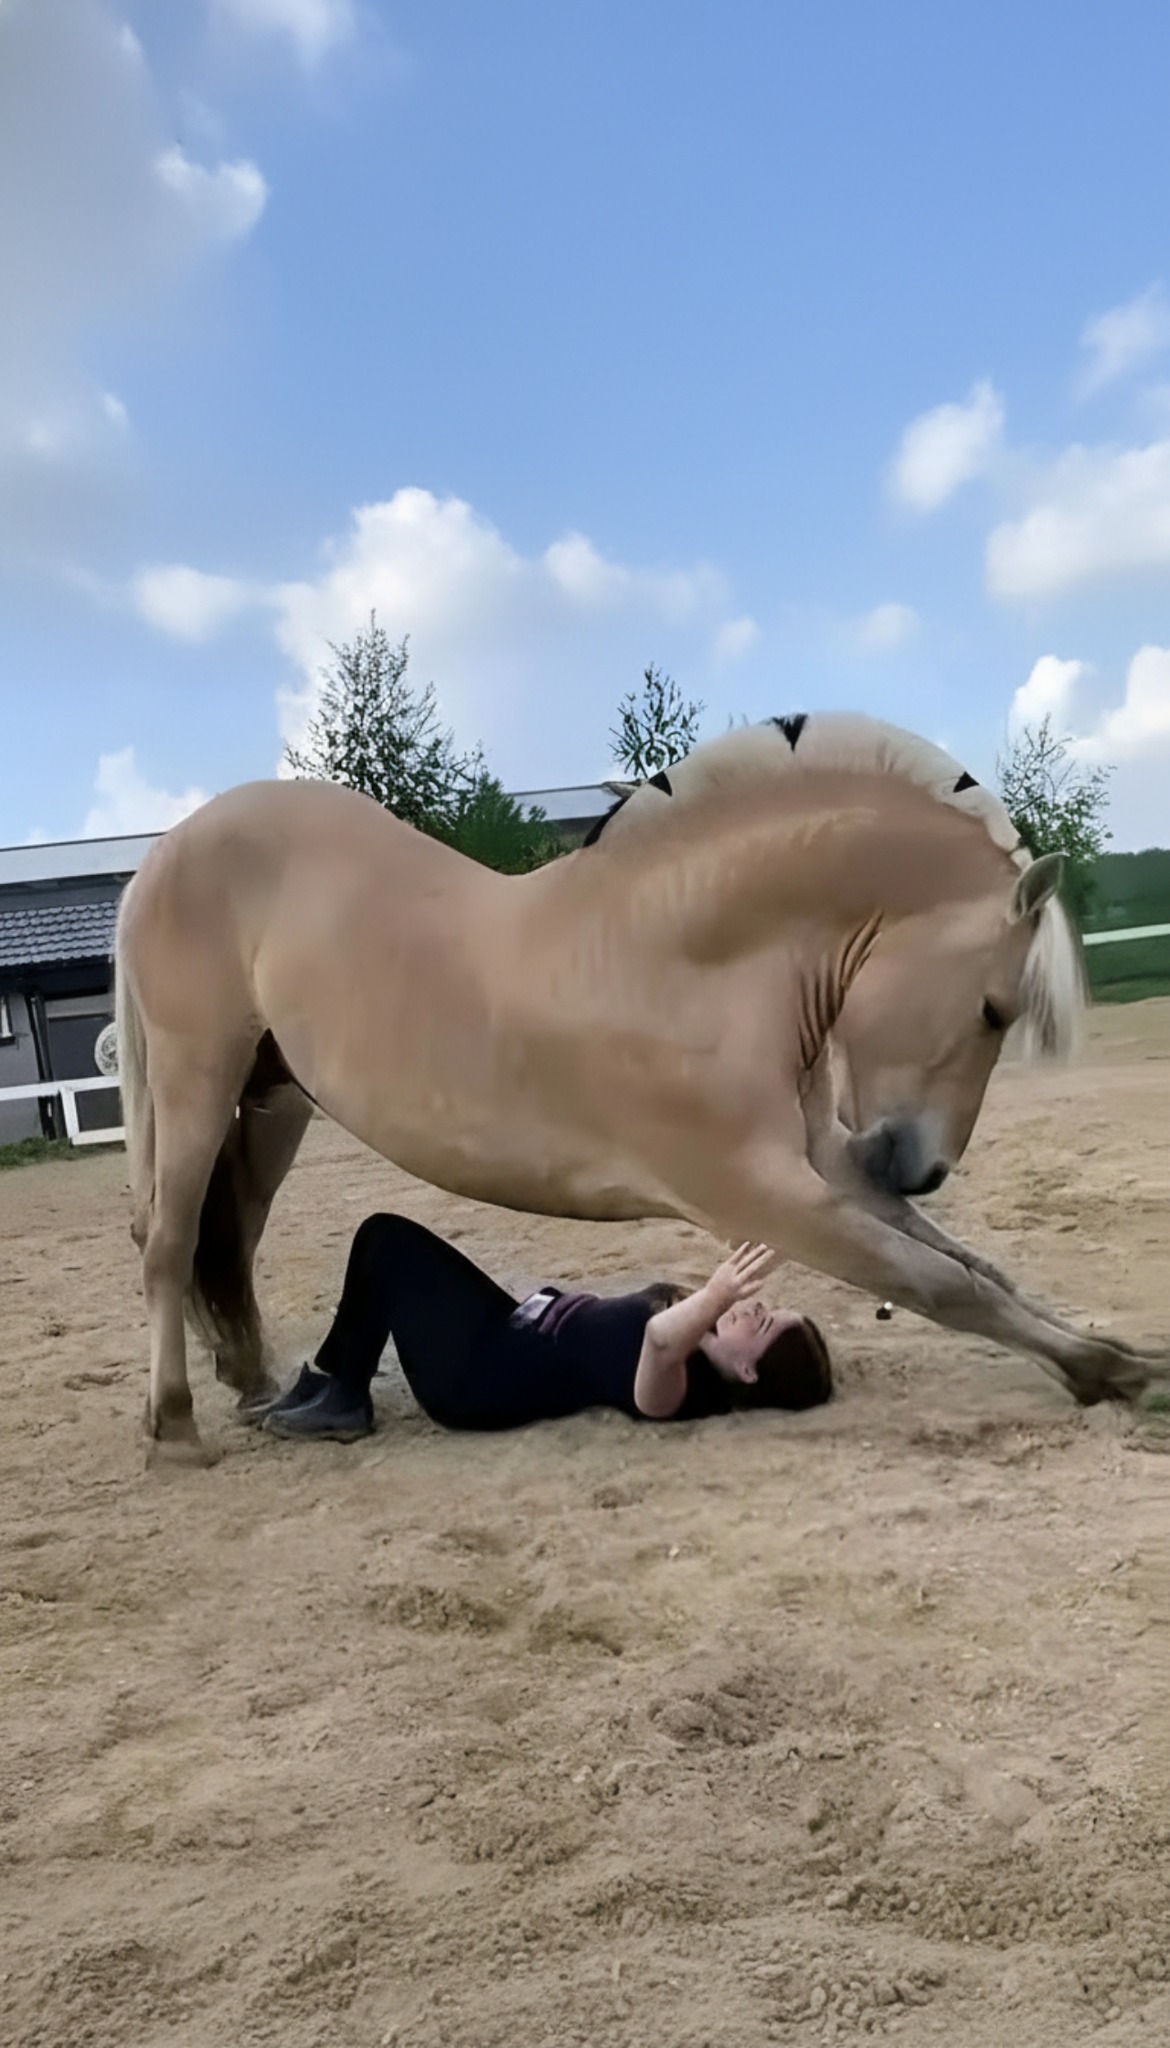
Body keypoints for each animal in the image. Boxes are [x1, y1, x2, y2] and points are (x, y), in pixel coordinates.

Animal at [115, 710, 1166, 1463]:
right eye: (994, 1009)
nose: (920, 1169)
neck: (693, 965)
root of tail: (166, 850)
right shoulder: (765, 1198)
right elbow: (944, 1283)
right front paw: (1115, 1378)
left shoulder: (825, 1170)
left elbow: (983, 1269)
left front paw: (1131, 1358)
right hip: (195, 1077)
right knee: (168, 1240)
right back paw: (177, 1431)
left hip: (273, 1104)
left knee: (228, 1240)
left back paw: (256, 1387)